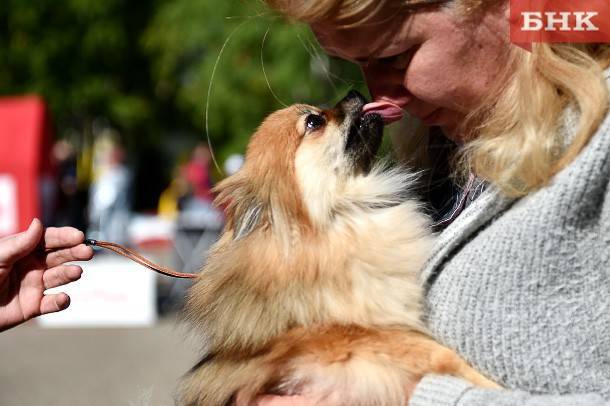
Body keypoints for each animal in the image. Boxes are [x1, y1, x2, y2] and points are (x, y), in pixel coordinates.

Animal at [178, 90, 496, 404]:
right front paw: (489, 385)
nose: (354, 92)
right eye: (314, 121)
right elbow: (441, 356)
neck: (339, 216)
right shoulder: (371, 337)